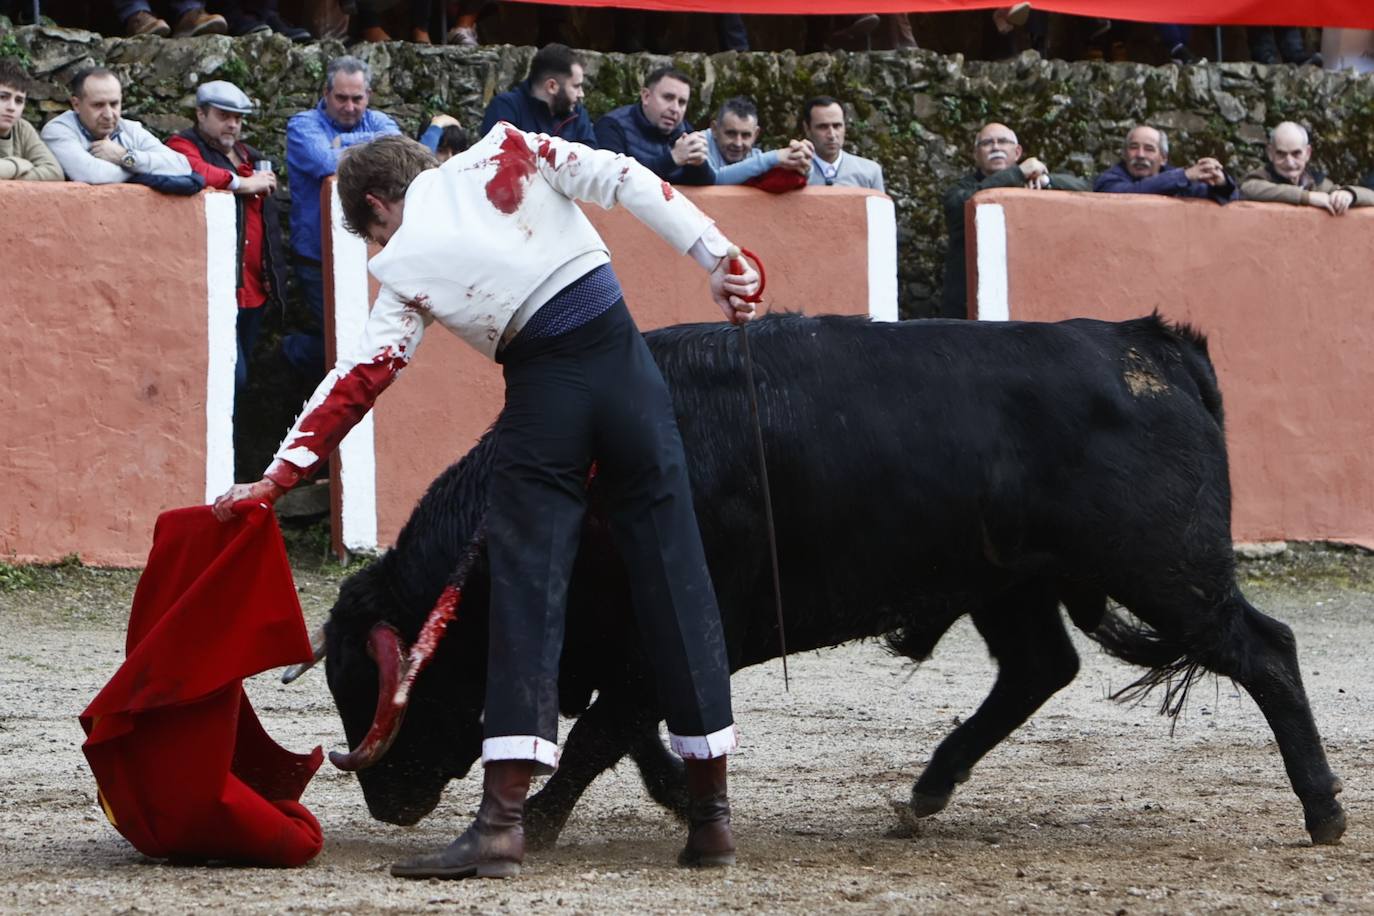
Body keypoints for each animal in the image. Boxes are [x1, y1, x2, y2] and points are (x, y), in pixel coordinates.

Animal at [324, 313, 1352, 845]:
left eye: (377, 682)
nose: (386, 803)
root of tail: (1152, 345)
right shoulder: (639, 643)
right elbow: (631, 727)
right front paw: (677, 798)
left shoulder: (677, 629)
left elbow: (604, 729)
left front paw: (536, 821)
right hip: (1011, 580)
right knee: (1038, 670)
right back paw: (925, 793)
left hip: (1167, 573)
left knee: (1266, 651)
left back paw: (1325, 811)